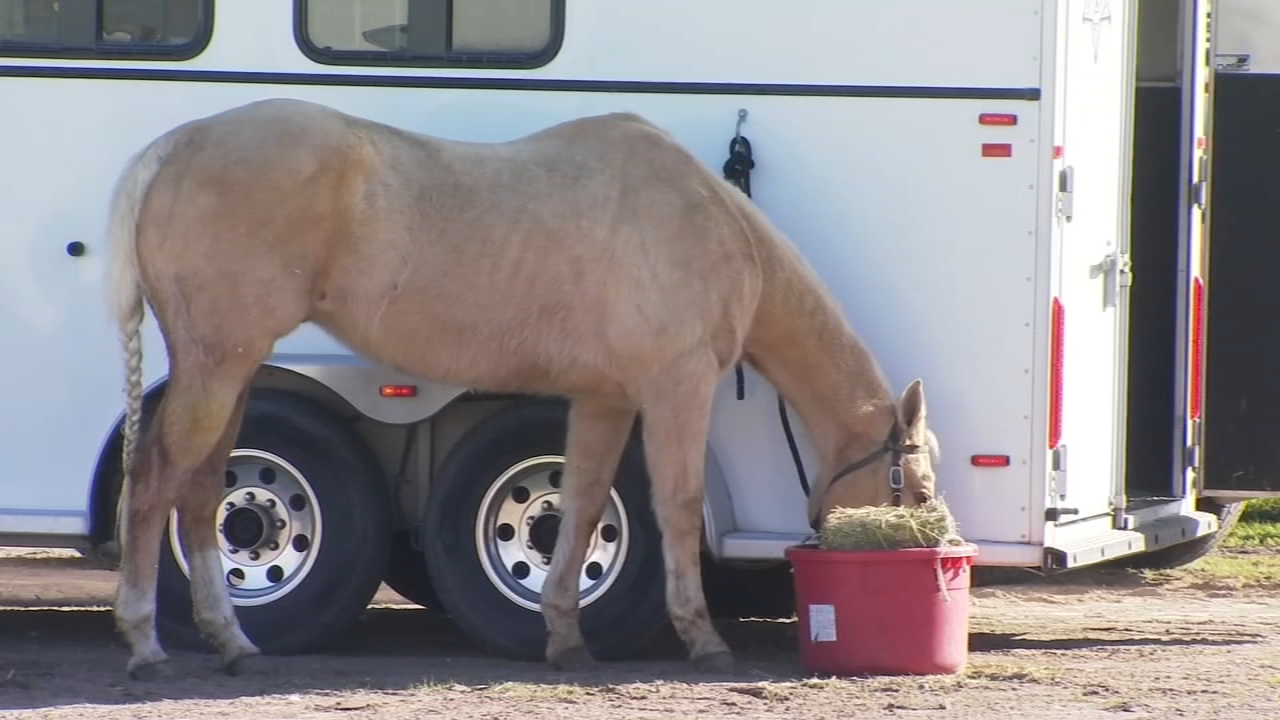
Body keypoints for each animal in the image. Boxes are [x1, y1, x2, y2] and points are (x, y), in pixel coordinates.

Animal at [104, 98, 942, 676]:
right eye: (917, 488)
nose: (938, 549)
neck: (706, 224)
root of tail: (179, 144)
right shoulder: (677, 388)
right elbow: (674, 507)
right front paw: (702, 640)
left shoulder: (604, 399)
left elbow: (581, 507)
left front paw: (566, 640)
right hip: (218, 365)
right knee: (154, 482)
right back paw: (145, 645)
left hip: (229, 370)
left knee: (200, 488)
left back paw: (233, 643)